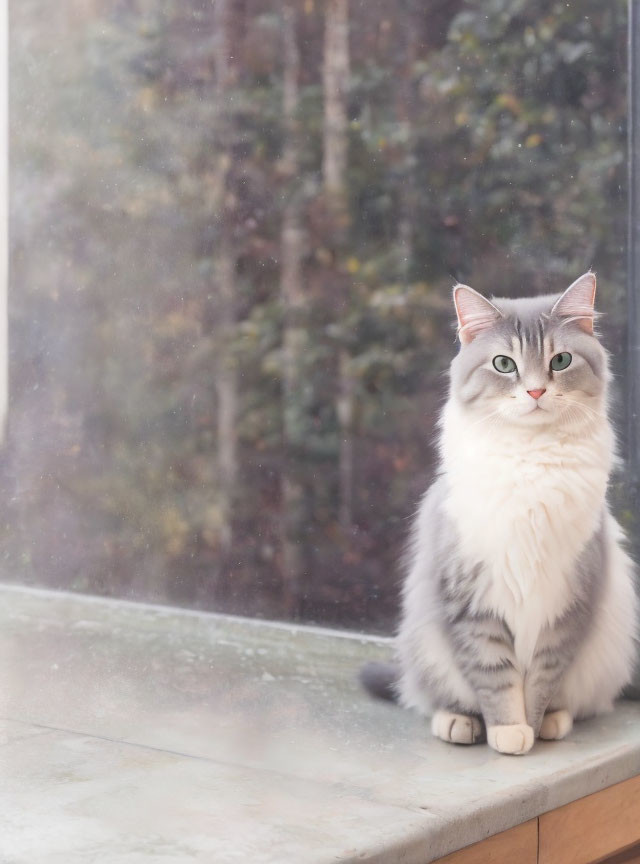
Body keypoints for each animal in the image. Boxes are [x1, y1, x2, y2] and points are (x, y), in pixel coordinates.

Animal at [362, 274, 636, 752]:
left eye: (561, 360)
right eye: (504, 364)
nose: (535, 391)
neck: (531, 458)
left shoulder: (567, 602)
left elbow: (541, 680)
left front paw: (532, 727)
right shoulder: (471, 600)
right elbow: (496, 678)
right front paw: (509, 733)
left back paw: (555, 722)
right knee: (435, 697)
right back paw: (459, 723)